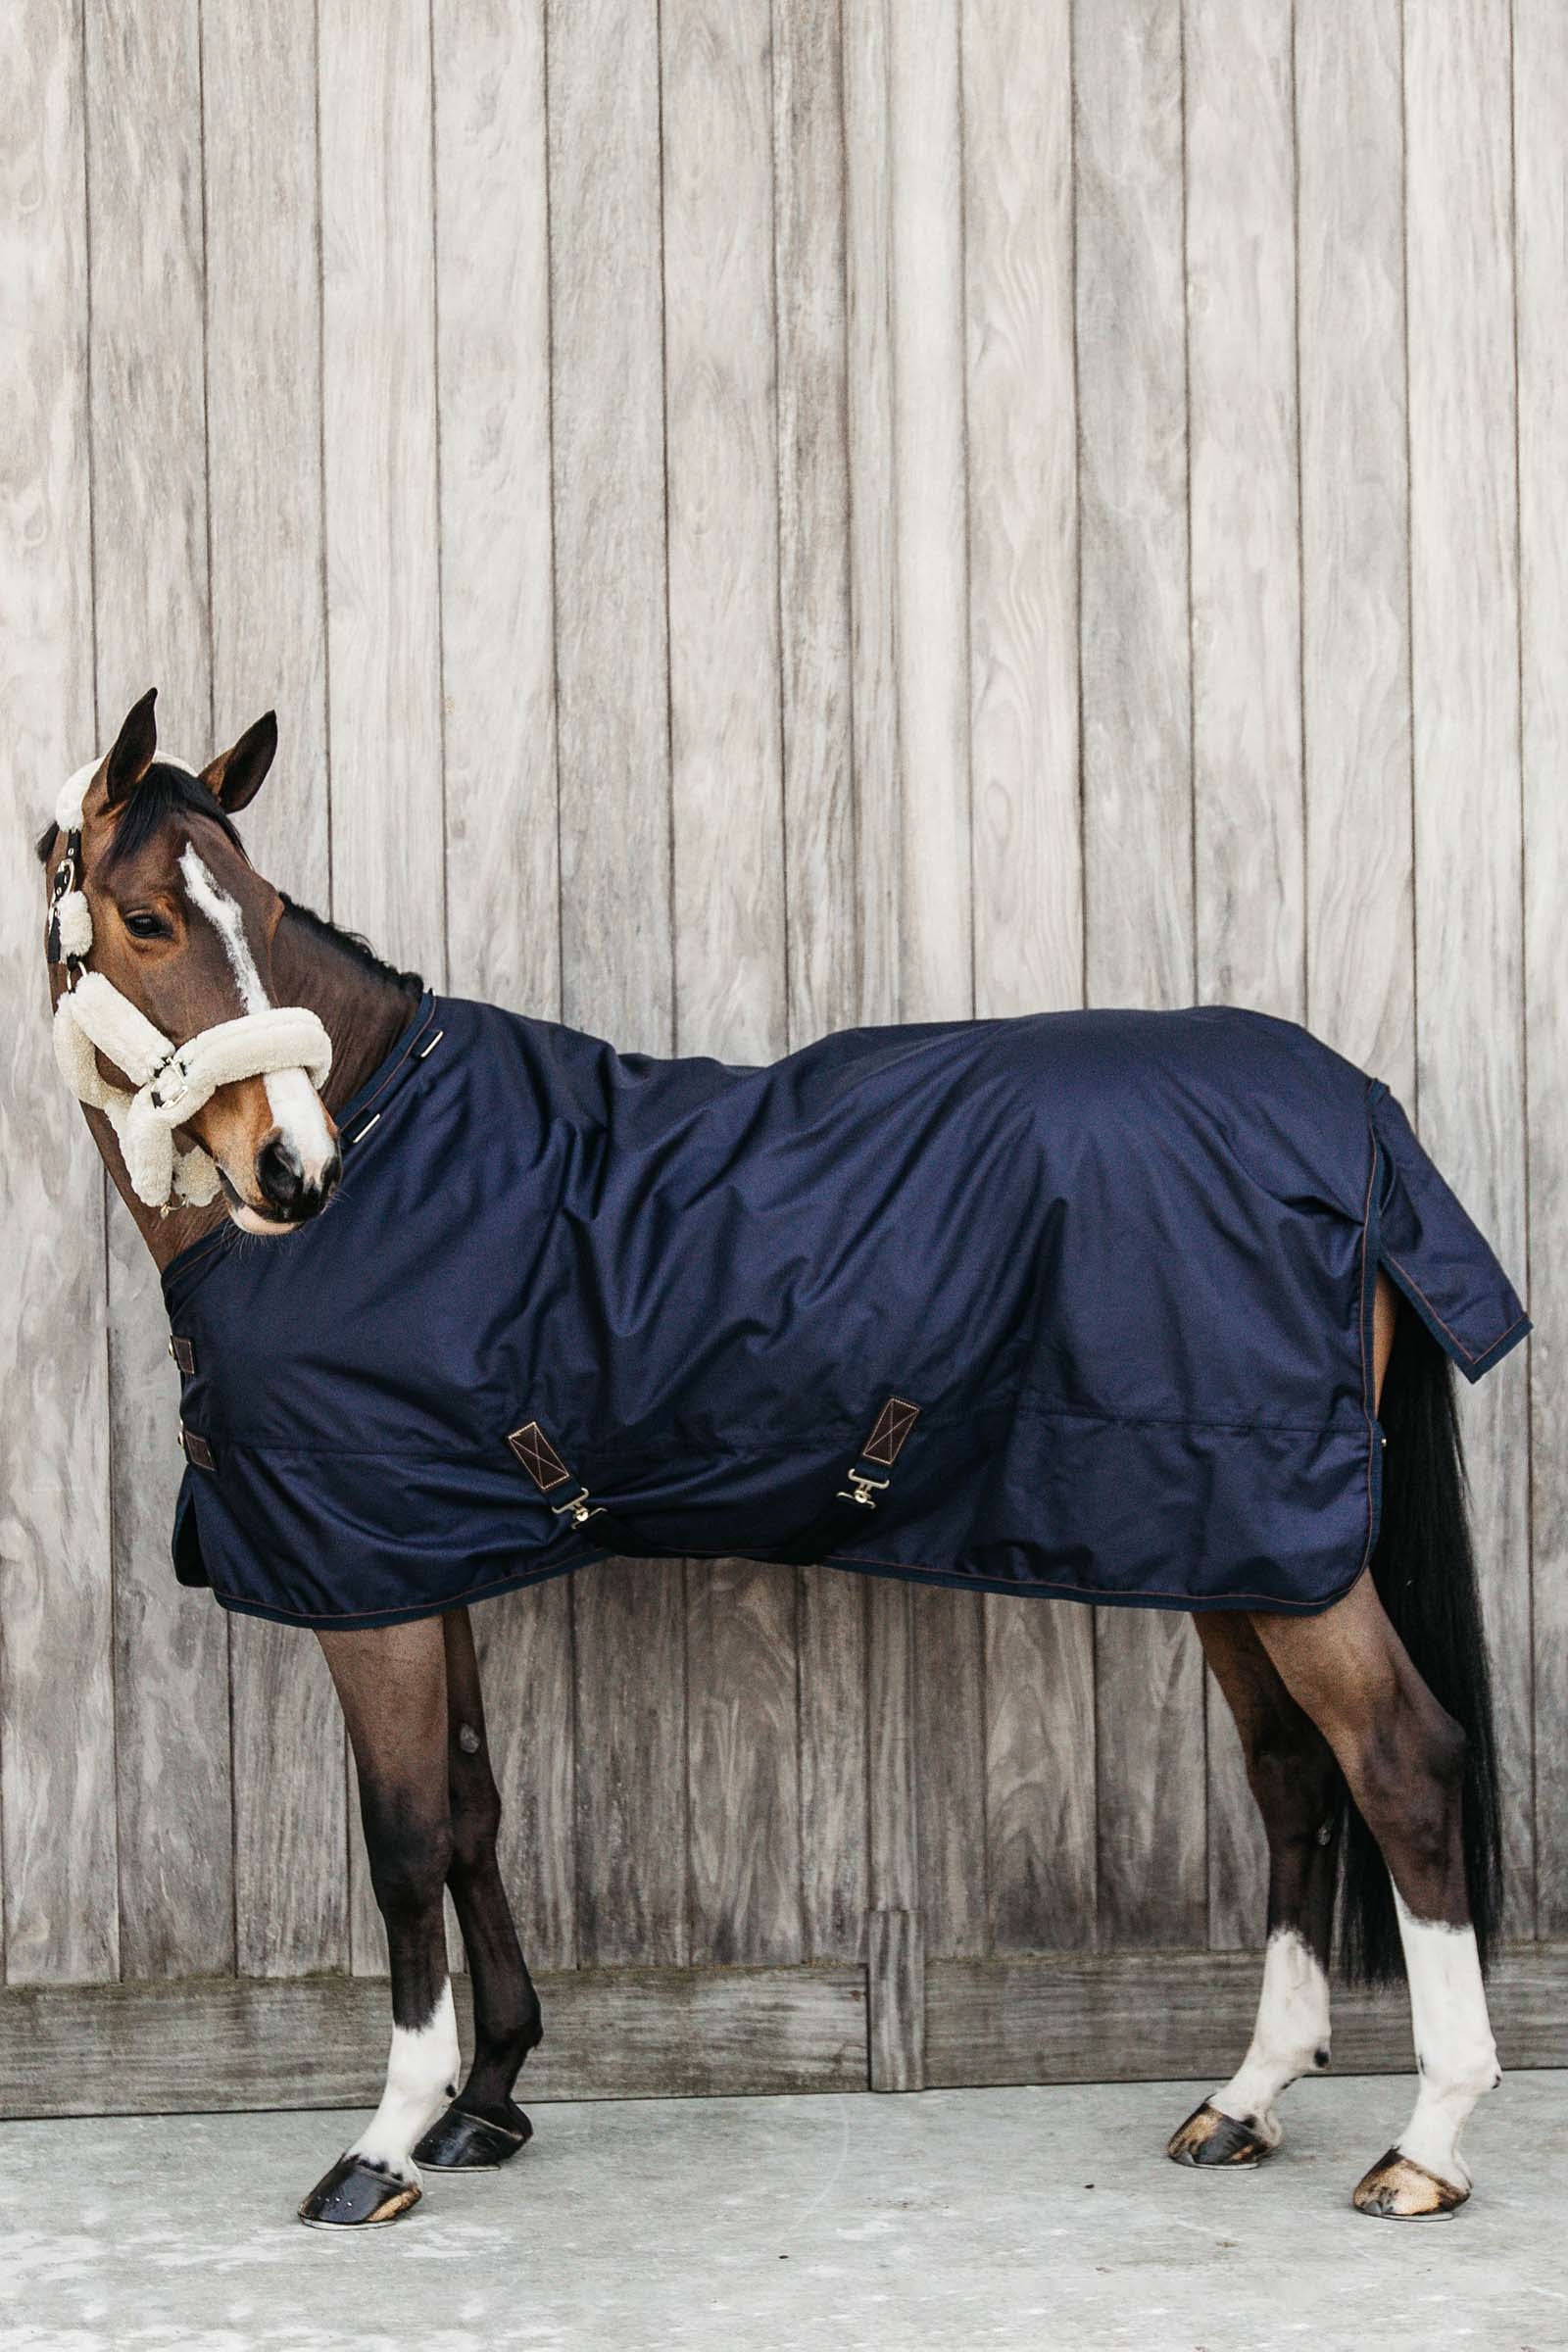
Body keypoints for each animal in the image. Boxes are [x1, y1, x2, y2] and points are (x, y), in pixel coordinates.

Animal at [36, 688, 1526, 2230]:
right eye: (149, 918)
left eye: (260, 914)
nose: (294, 1169)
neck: (397, 1154)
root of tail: (1357, 1108)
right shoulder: (422, 1558)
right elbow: (471, 1811)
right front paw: (491, 2098)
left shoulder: (368, 1586)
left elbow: (403, 1844)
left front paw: (385, 2141)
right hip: (1229, 1540)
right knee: (1294, 1773)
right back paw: (1246, 2097)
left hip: (1288, 1550)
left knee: (1402, 1762)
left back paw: (1428, 2140)